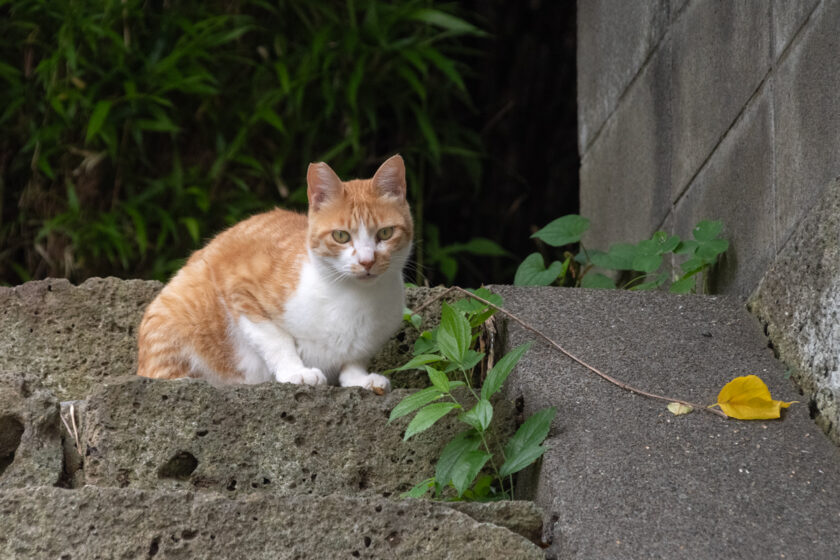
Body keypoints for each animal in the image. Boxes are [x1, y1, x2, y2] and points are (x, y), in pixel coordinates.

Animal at [135, 154, 414, 394]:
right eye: (341, 236)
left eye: (386, 233)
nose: (367, 261)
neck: (353, 298)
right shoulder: (240, 288)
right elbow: (276, 340)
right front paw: (296, 372)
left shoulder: (365, 342)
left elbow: (353, 360)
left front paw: (360, 379)